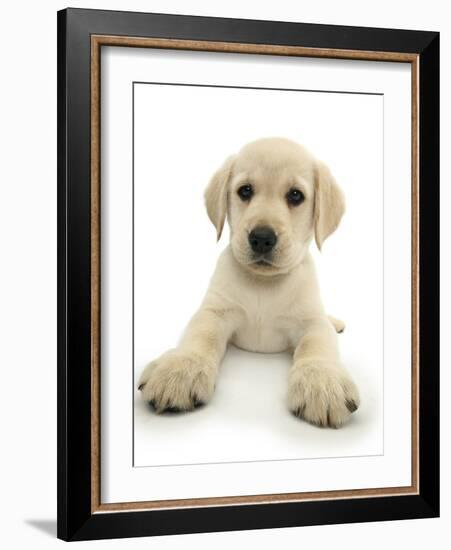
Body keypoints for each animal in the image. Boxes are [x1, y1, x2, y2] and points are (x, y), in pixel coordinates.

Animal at [138, 138, 360, 432]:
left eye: (296, 196)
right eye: (245, 191)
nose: (262, 238)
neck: (263, 284)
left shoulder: (311, 321)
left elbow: (317, 345)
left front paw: (322, 380)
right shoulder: (215, 311)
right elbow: (200, 335)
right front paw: (181, 367)